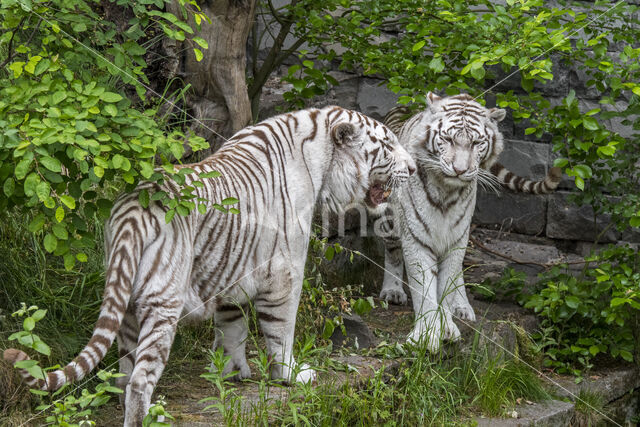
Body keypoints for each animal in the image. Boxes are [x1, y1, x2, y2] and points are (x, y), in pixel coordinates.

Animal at [3, 105, 416, 426]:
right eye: (387, 145)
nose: (413, 168)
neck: (320, 161)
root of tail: (133, 208)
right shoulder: (284, 272)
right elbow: (280, 330)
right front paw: (292, 374)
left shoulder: (234, 270)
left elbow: (232, 327)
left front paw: (234, 372)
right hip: (162, 304)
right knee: (139, 380)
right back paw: (145, 417)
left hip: (128, 305)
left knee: (124, 373)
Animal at [378, 93, 564, 352]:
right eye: (447, 139)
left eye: (476, 143)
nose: (459, 169)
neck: (446, 191)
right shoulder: (417, 237)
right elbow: (424, 287)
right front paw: (426, 334)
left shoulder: (456, 236)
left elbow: (446, 283)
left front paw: (447, 325)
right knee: (393, 252)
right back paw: (392, 291)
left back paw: (462, 307)